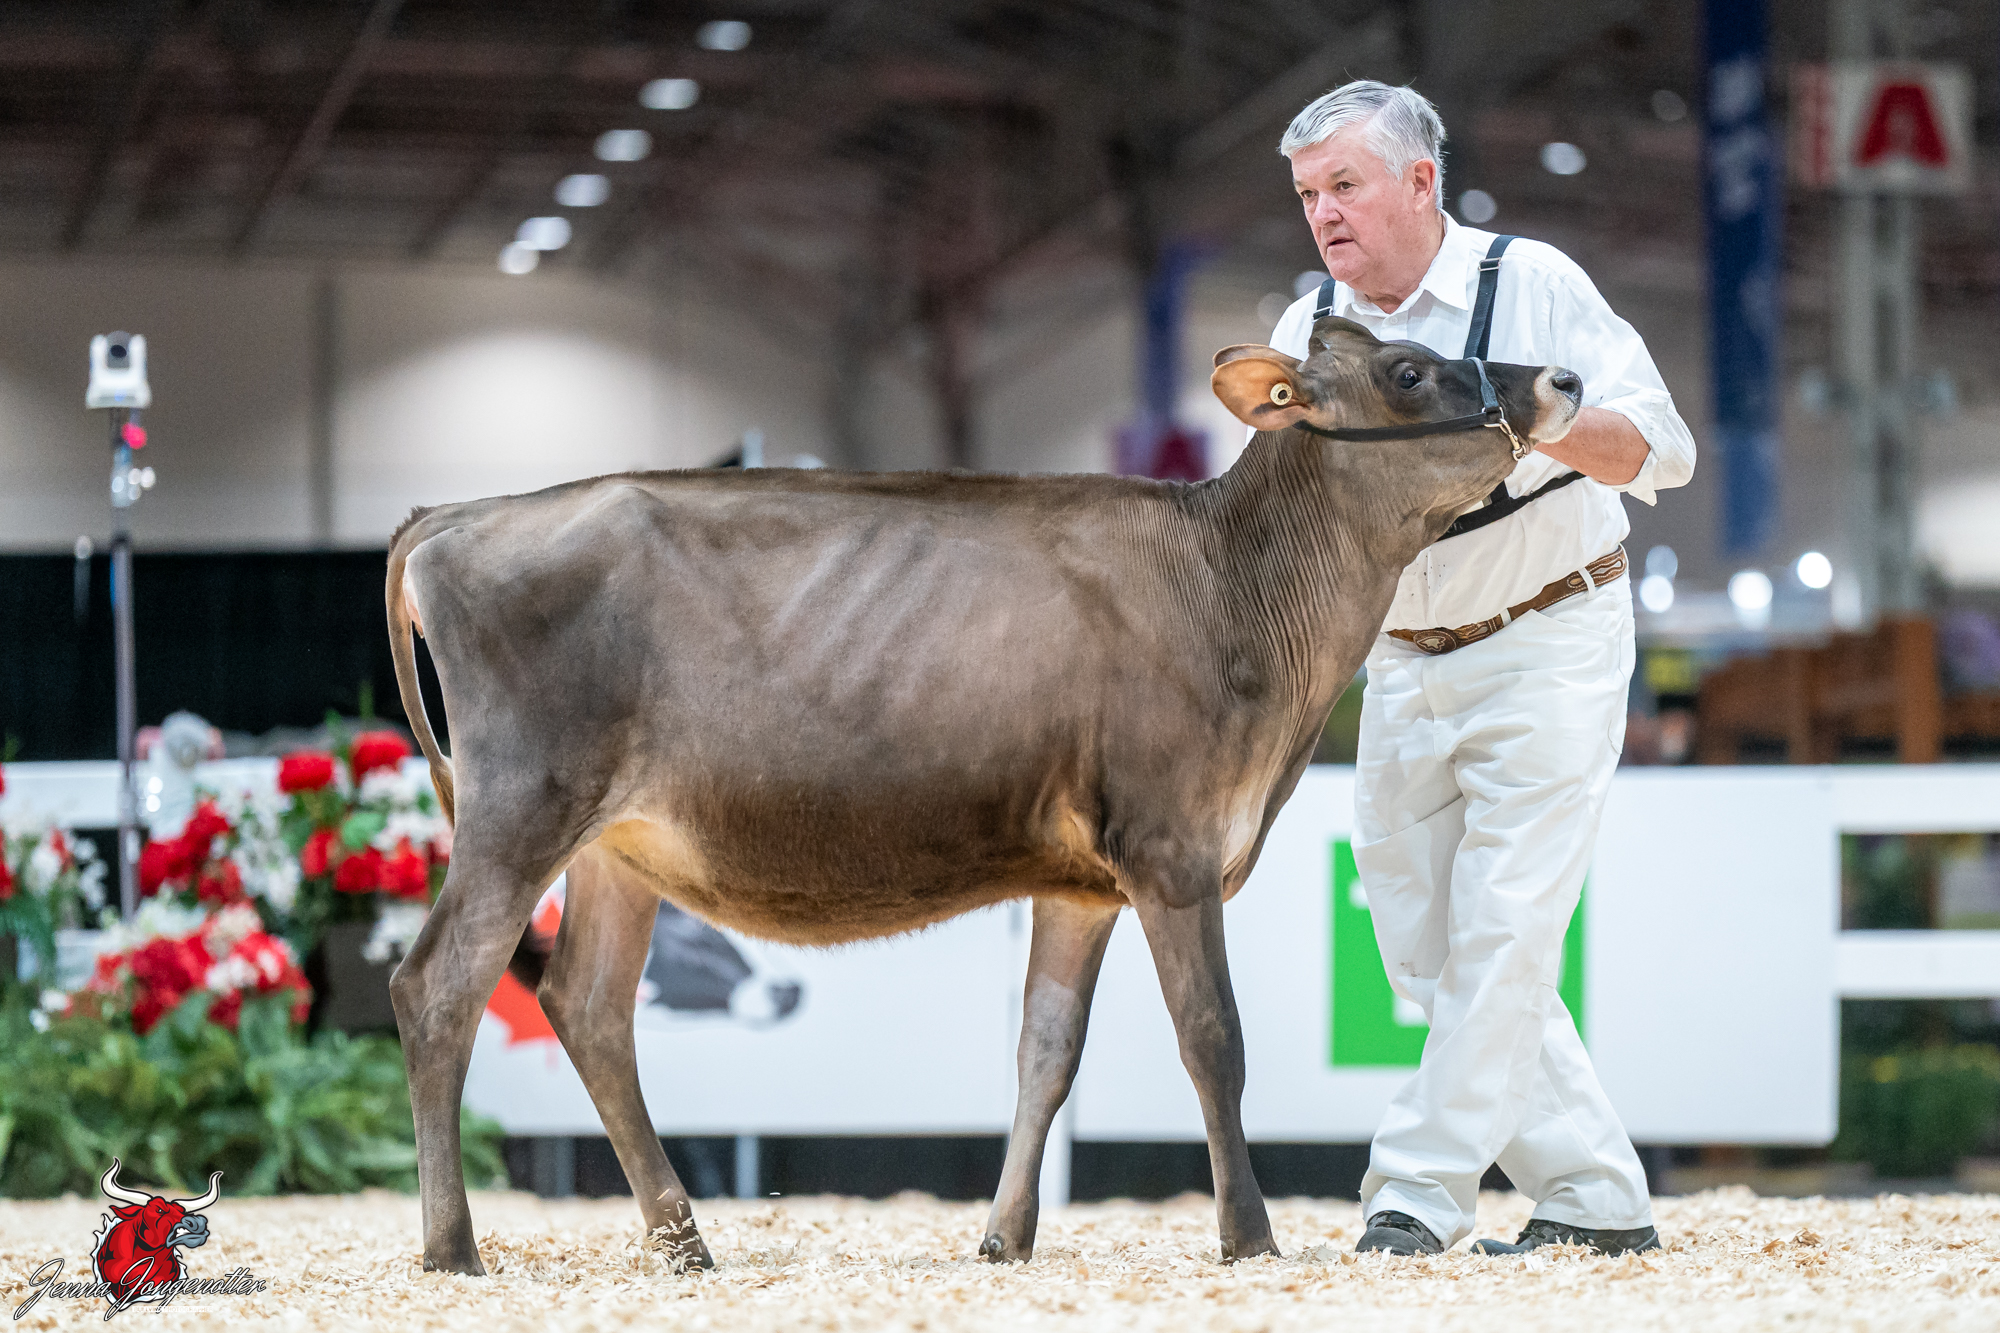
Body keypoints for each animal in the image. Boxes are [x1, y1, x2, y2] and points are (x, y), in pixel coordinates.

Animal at [383, 317, 1583, 1275]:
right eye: (1408, 370)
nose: (1563, 377)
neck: (1233, 587)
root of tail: (455, 515)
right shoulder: (1172, 847)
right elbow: (1213, 1038)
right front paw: (1249, 1236)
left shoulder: (1083, 883)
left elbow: (1045, 1052)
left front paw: (1005, 1237)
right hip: (521, 806)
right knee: (437, 985)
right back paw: (453, 1247)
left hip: (619, 842)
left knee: (588, 1004)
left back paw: (684, 1242)